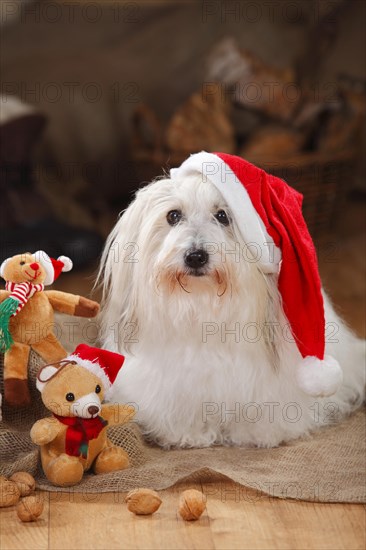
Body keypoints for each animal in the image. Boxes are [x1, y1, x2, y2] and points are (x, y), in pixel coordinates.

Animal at [98, 154, 366, 448]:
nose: (195, 256)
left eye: (222, 216)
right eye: (173, 215)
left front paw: (254, 434)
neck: (202, 305)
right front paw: (188, 434)